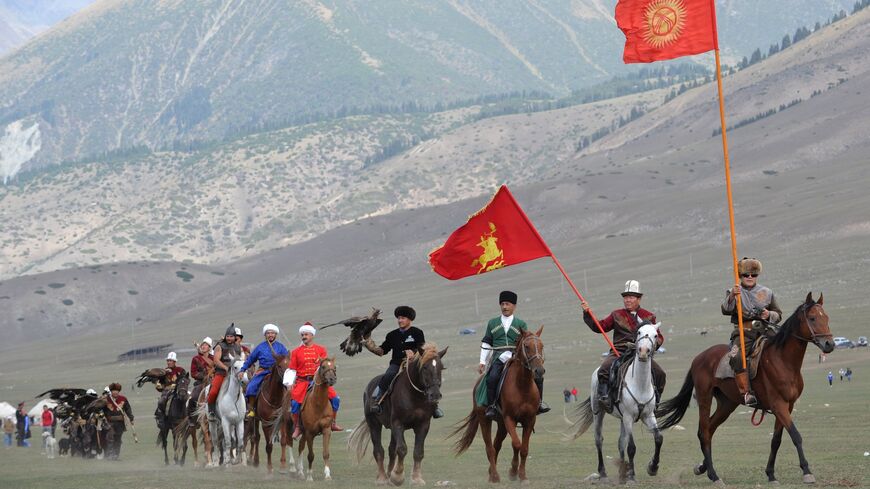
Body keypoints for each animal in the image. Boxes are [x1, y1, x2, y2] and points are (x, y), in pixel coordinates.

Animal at [350, 344, 450, 484]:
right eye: (424, 367)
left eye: (441, 367)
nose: (435, 395)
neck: (415, 396)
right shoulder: (398, 423)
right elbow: (402, 449)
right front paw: (397, 476)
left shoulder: (423, 425)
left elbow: (418, 452)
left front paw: (416, 479)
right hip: (374, 424)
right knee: (378, 450)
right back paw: (382, 478)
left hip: (391, 429)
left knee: (391, 450)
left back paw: (388, 474)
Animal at [456, 326, 544, 482]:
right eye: (527, 346)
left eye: (542, 346)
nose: (539, 371)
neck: (522, 386)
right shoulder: (509, 418)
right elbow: (516, 444)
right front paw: (513, 472)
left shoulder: (529, 420)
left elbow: (524, 449)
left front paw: (521, 475)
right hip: (485, 420)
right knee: (490, 447)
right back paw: (495, 476)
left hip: (502, 424)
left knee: (496, 445)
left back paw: (491, 472)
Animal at [572, 322, 668, 482]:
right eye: (639, 332)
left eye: (655, 335)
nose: (643, 352)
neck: (640, 384)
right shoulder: (629, 417)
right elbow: (632, 447)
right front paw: (632, 476)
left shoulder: (648, 415)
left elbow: (658, 438)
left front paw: (652, 467)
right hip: (599, 412)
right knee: (599, 439)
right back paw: (603, 472)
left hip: (622, 418)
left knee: (620, 442)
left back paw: (622, 471)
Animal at [656, 292, 836, 482]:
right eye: (812, 318)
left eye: (826, 318)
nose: (829, 344)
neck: (783, 361)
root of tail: (698, 358)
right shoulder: (778, 405)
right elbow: (796, 436)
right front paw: (807, 471)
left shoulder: (788, 405)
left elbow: (776, 441)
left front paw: (770, 474)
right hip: (705, 398)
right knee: (704, 432)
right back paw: (714, 475)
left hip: (727, 404)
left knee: (710, 430)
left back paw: (702, 467)